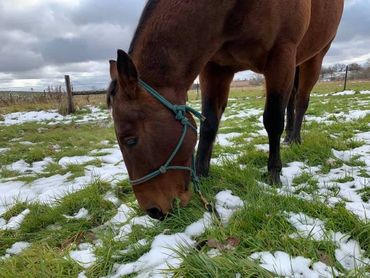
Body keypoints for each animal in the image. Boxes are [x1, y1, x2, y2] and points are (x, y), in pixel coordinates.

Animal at [107, 1, 344, 220]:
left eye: (130, 140)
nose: (154, 211)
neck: (234, 10)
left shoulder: (282, 55)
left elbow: (273, 120)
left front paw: (273, 173)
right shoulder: (216, 67)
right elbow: (209, 124)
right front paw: (202, 172)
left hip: (314, 58)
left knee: (301, 101)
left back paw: (295, 138)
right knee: (292, 101)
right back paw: (288, 137)